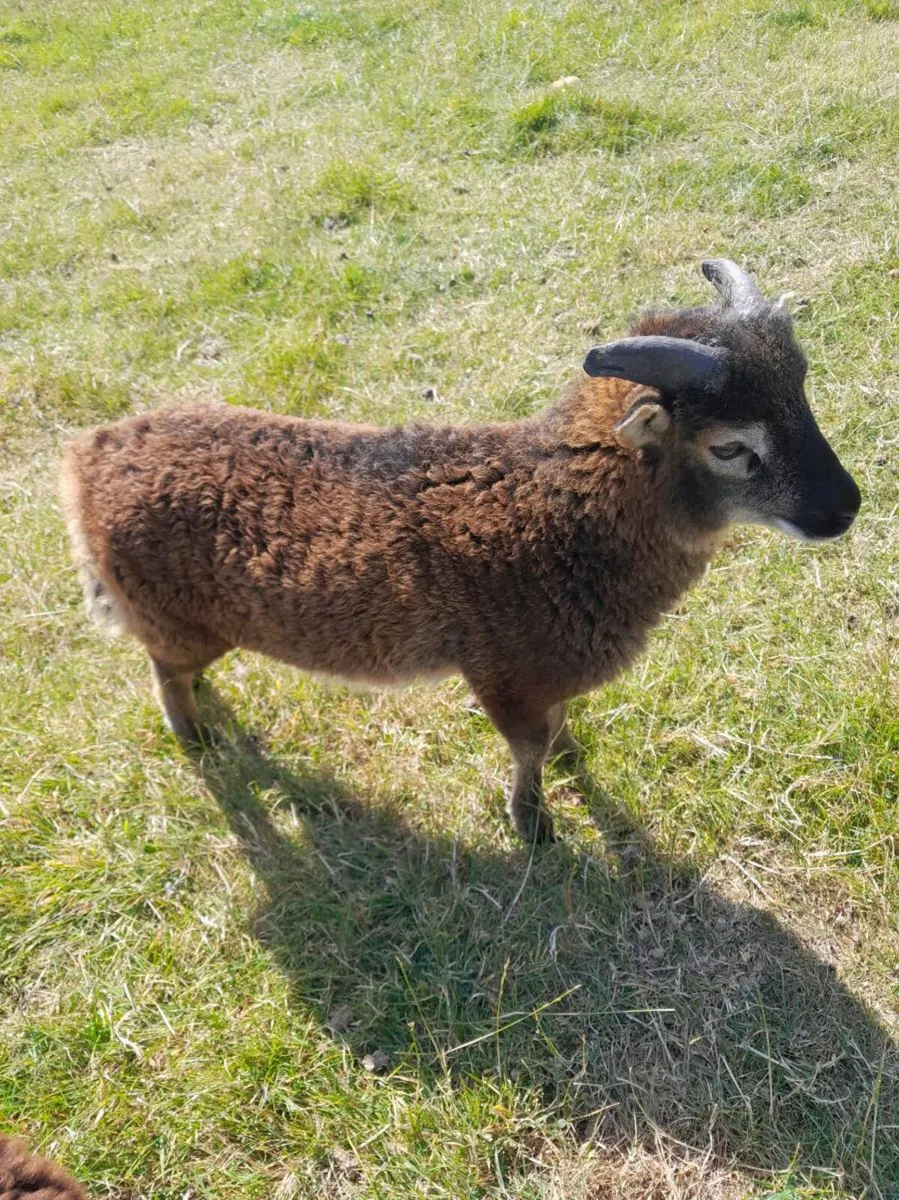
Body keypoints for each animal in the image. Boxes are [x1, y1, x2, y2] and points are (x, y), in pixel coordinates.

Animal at [60, 259, 861, 843]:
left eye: (803, 396)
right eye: (728, 446)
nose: (844, 507)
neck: (558, 515)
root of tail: (88, 458)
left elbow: (558, 732)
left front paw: (571, 761)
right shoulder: (504, 676)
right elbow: (529, 751)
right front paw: (532, 825)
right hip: (175, 621)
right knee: (165, 672)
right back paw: (195, 735)